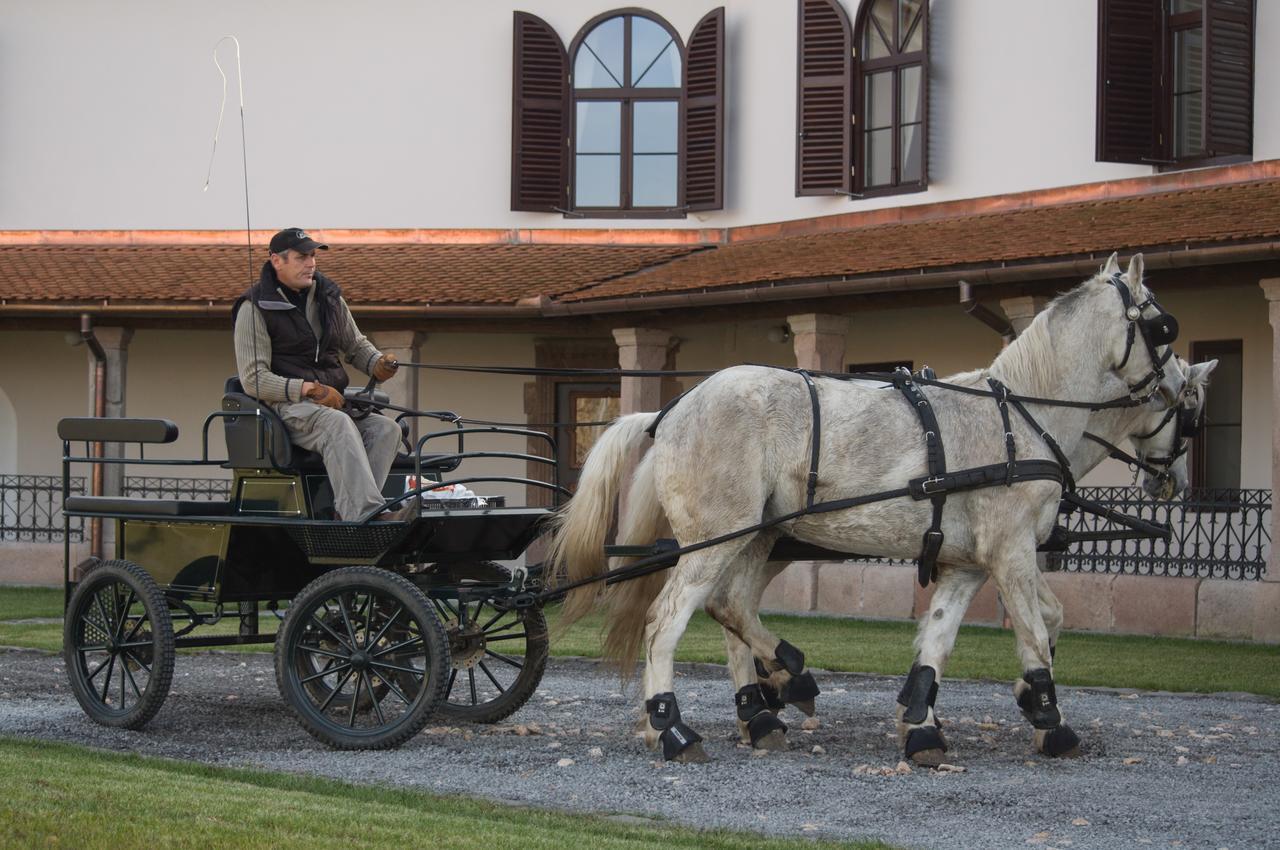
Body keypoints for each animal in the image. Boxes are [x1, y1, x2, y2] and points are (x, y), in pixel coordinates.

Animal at [547, 253, 1177, 762]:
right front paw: (1050, 718)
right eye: (1161, 327)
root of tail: (670, 409)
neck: (1020, 416)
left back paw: (778, 687)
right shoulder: (1012, 551)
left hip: (755, 537)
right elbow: (1033, 630)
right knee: (668, 621)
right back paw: (675, 727)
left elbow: (945, 638)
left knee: (730, 607)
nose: (1174, 390)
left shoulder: (969, 562)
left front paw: (922, 722)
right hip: (719, 537)